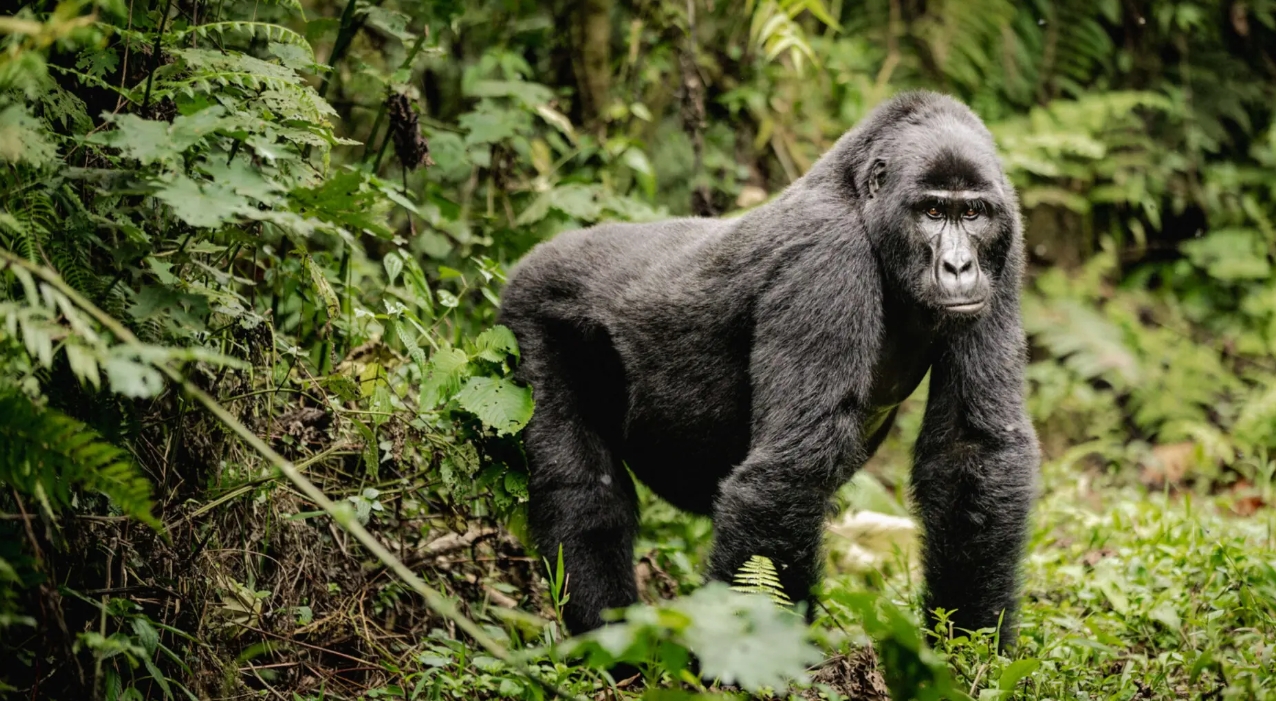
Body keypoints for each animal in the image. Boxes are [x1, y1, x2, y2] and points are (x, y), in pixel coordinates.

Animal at [498, 90, 1039, 647]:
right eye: (932, 210)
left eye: (972, 213)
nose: (959, 266)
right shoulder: (826, 258)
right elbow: (791, 470)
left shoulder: (1006, 248)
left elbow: (971, 449)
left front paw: (968, 647)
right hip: (531, 311)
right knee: (582, 492)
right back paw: (610, 641)